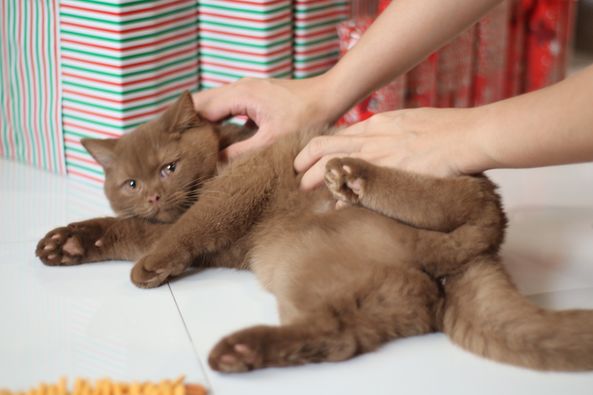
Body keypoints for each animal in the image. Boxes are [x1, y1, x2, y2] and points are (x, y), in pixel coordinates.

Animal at [35, 91, 592, 372]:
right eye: (131, 182)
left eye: (168, 168)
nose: (152, 196)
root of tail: (465, 259)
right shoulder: (185, 235)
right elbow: (125, 228)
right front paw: (65, 243)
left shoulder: (236, 187)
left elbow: (192, 223)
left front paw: (147, 267)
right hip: (318, 272)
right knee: (337, 335)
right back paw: (242, 351)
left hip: (428, 179)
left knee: (476, 205)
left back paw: (353, 176)